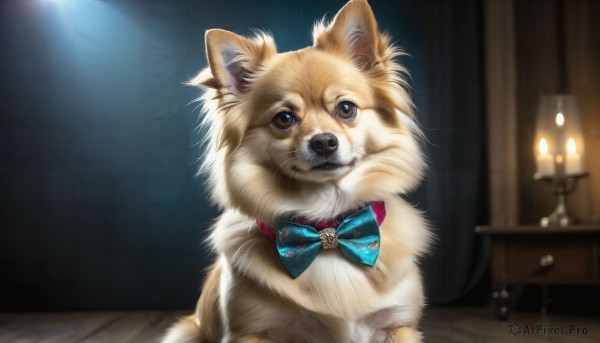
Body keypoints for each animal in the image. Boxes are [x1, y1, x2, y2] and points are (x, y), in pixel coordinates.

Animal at [162, 1, 428, 342]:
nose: (324, 142)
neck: (327, 224)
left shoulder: (398, 326)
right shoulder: (250, 332)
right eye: (284, 118)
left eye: (346, 109)